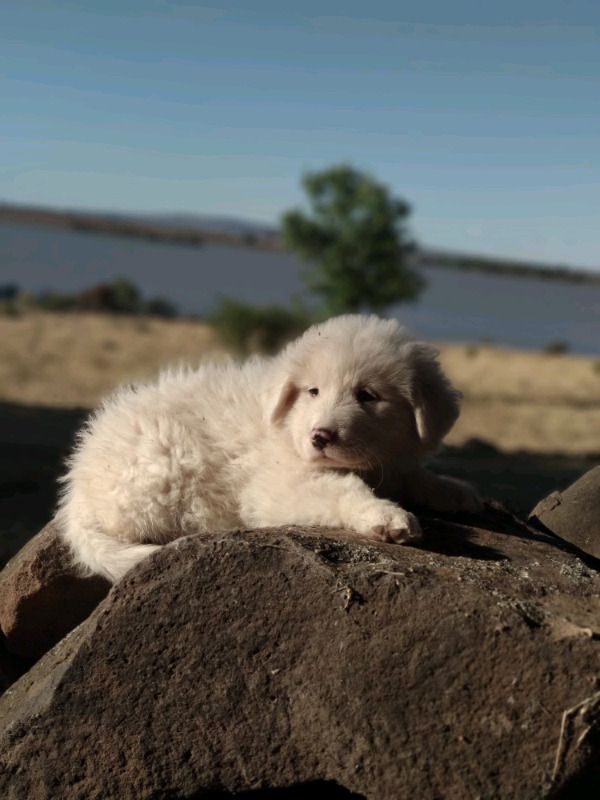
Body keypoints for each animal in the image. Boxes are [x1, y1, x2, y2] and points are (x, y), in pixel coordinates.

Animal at [57, 314, 482, 580]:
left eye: (368, 395)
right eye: (313, 391)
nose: (320, 437)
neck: (288, 425)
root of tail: (76, 488)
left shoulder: (391, 462)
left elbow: (414, 475)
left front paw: (455, 492)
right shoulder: (276, 485)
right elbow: (339, 491)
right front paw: (385, 516)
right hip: (163, 464)